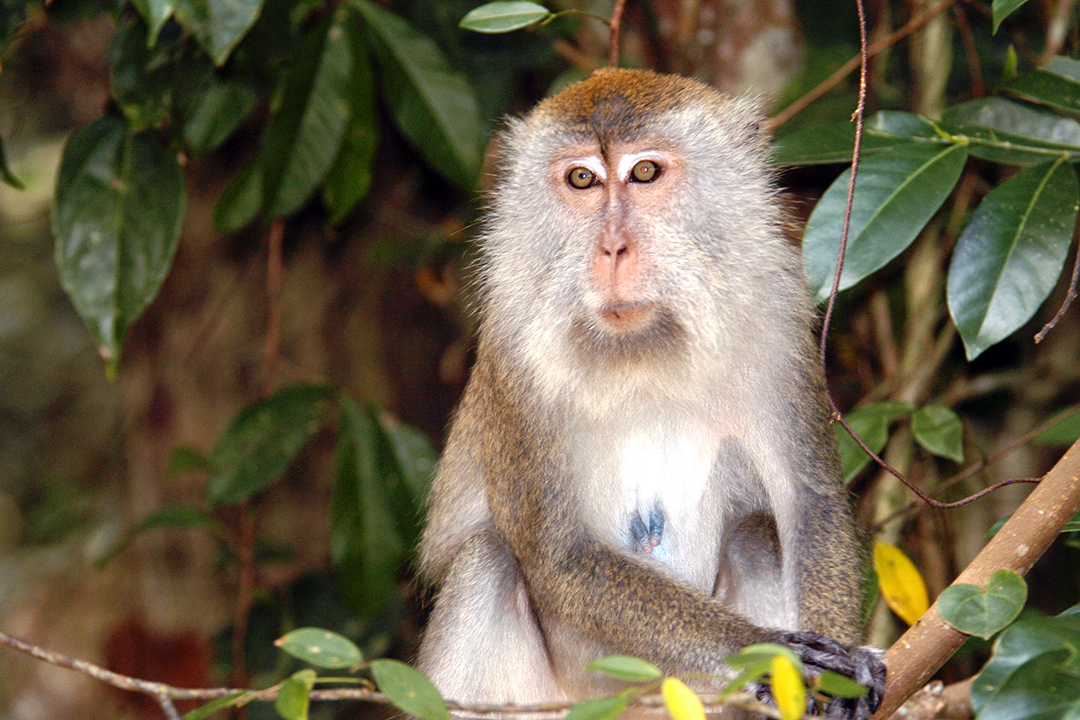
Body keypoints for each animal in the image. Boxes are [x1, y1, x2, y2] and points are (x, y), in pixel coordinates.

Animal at [416, 68, 885, 719]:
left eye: (644, 173)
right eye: (582, 179)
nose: (612, 249)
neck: (642, 349)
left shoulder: (780, 328)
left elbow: (807, 505)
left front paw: (846, 667)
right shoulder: (515, 357)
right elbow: (563, 557)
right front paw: (774, 650)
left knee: (756, 534)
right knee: (487, 559)